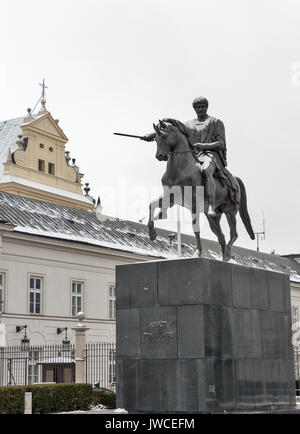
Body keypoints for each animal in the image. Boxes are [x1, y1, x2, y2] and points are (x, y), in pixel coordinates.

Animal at [146, 118, 254, 262]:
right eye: (155, 138)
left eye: (163, 135)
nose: (160, 156)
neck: (180, 169)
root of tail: (235, 178)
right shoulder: (171, 198)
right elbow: (151, 205)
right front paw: (152, 232)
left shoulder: (194, 204)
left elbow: (195, 228)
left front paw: (198, 252)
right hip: (213, 218)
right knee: (221, 237)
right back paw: (224, 257)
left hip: (230, 212)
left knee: (234, 234)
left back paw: (228, 253)